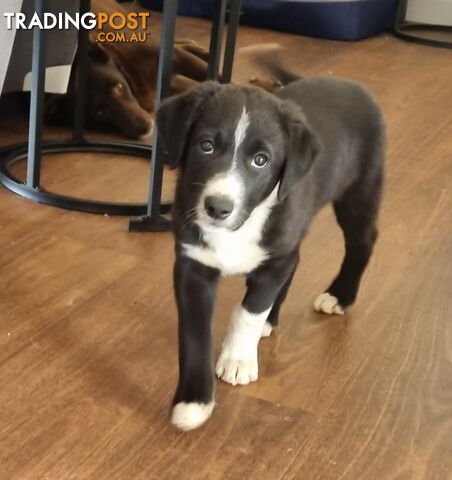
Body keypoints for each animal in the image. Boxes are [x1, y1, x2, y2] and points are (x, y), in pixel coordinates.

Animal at [156, 71, 384, 432]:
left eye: (260, 160)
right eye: (206, 145)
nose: (217, 208)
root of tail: (350, 82)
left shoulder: (274, 258)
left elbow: (249, 311)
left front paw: (238, 358)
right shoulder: (193, 264)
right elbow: (194, 337)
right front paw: (194, 400)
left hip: (359, 192)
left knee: (362, 242)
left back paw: (339, 295)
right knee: (297, 259)